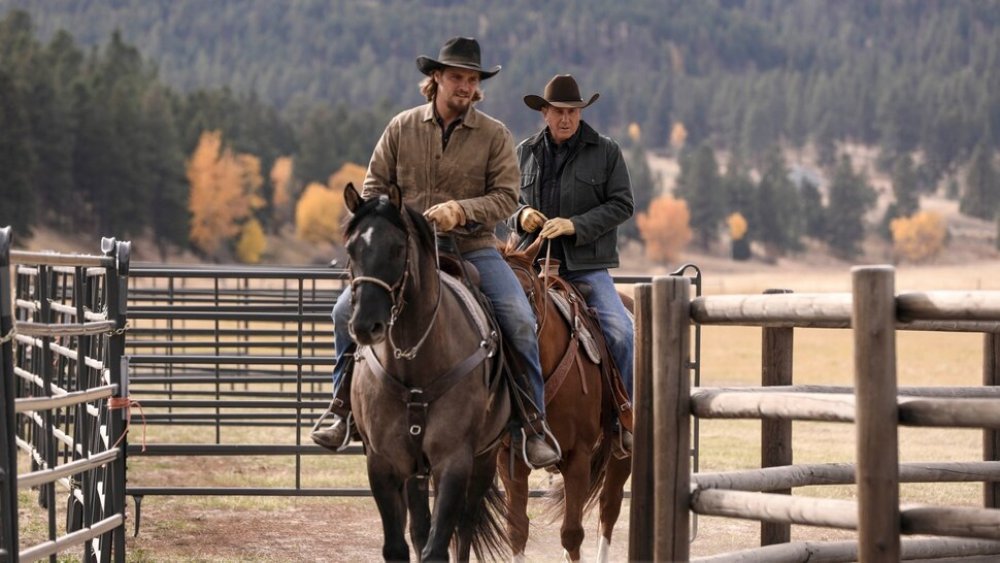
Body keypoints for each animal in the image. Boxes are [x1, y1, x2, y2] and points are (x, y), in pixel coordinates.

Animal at [500, 238, 632, 563]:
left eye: (528, 292)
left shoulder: (579, 454)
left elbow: (572, 532)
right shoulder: (509, 457)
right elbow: (517, 529)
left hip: (622, 454)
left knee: (608, 508)